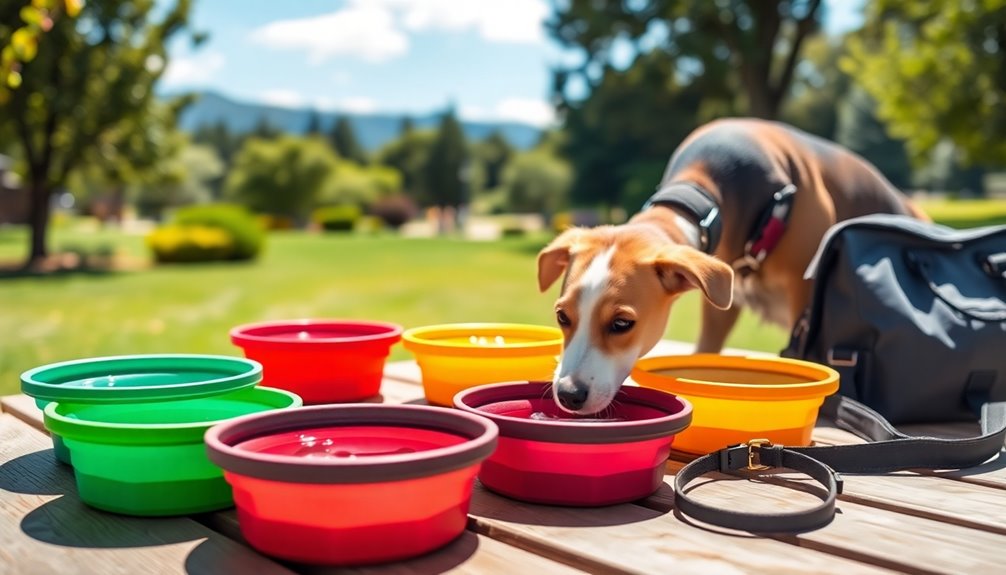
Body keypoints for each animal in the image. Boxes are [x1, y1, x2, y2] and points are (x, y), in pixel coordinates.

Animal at [539, 118, 929, 414]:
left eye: (622, 324)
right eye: (562, 317)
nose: (569, 394)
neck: (701, 194)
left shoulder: (803, 295)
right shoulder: (720, 299)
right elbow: (706, 348)